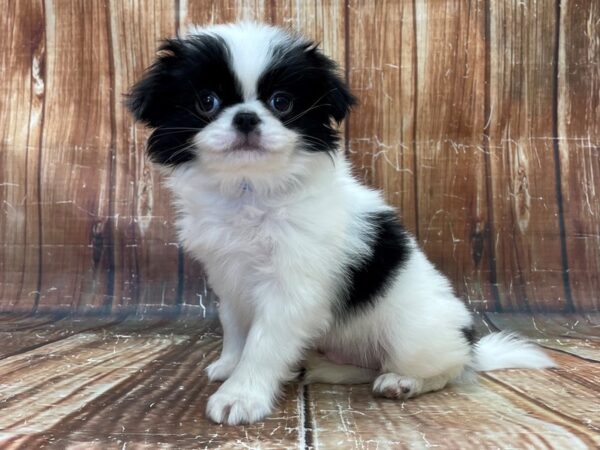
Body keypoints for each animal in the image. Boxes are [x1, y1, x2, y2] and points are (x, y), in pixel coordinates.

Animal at [129, 22, 556, 426]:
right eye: (207, 101)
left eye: (282, 102)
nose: (246, 117)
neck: (251, 188)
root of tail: (470, 344)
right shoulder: (227, 276)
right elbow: (235, 326)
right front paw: (230, 365)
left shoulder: (292, 288)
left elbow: (264, 343)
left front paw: (242, 395)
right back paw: (317, 367)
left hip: (414, 334)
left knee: (445, 369)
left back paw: (404, 381)